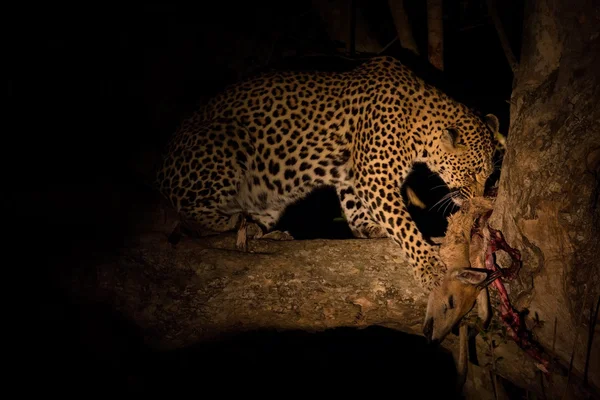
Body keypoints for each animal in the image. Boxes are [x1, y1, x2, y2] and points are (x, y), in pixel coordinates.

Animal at [152, 54, 500, 290]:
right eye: (472, 173)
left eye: (487, 175)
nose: (480, 202)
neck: (419, 124)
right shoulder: (374, 178)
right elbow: (403, 225)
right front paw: (428, 267)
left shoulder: (351, 174)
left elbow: (354, 205)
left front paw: (368, 227)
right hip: (224, 144)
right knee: (189, 214)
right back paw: (234, 222)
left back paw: (261, 231)